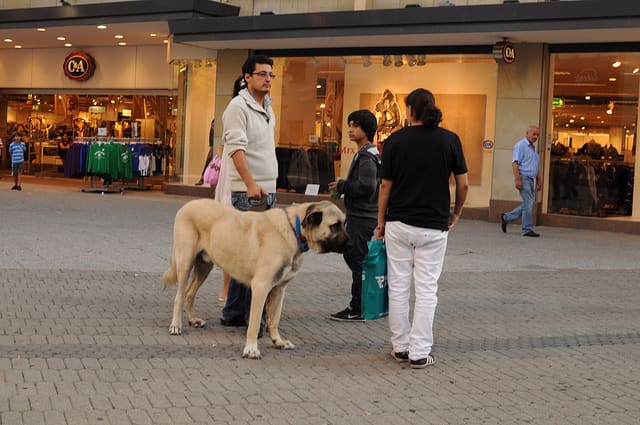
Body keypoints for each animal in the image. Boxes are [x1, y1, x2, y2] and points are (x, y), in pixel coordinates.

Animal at [162, 199, 348, 358]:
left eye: (344, 224)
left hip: (204, 266)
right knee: (179, 296)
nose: (351, 244)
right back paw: (176, 325)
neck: (293, 229)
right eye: (334, 226)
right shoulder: (260, 287)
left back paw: (193, 320)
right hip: (185, 262)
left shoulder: (279, 289)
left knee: (189, 292)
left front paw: (278, 341)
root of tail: (187, 205)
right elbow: (255, 321)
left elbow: (274, 319)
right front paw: (251, 349)